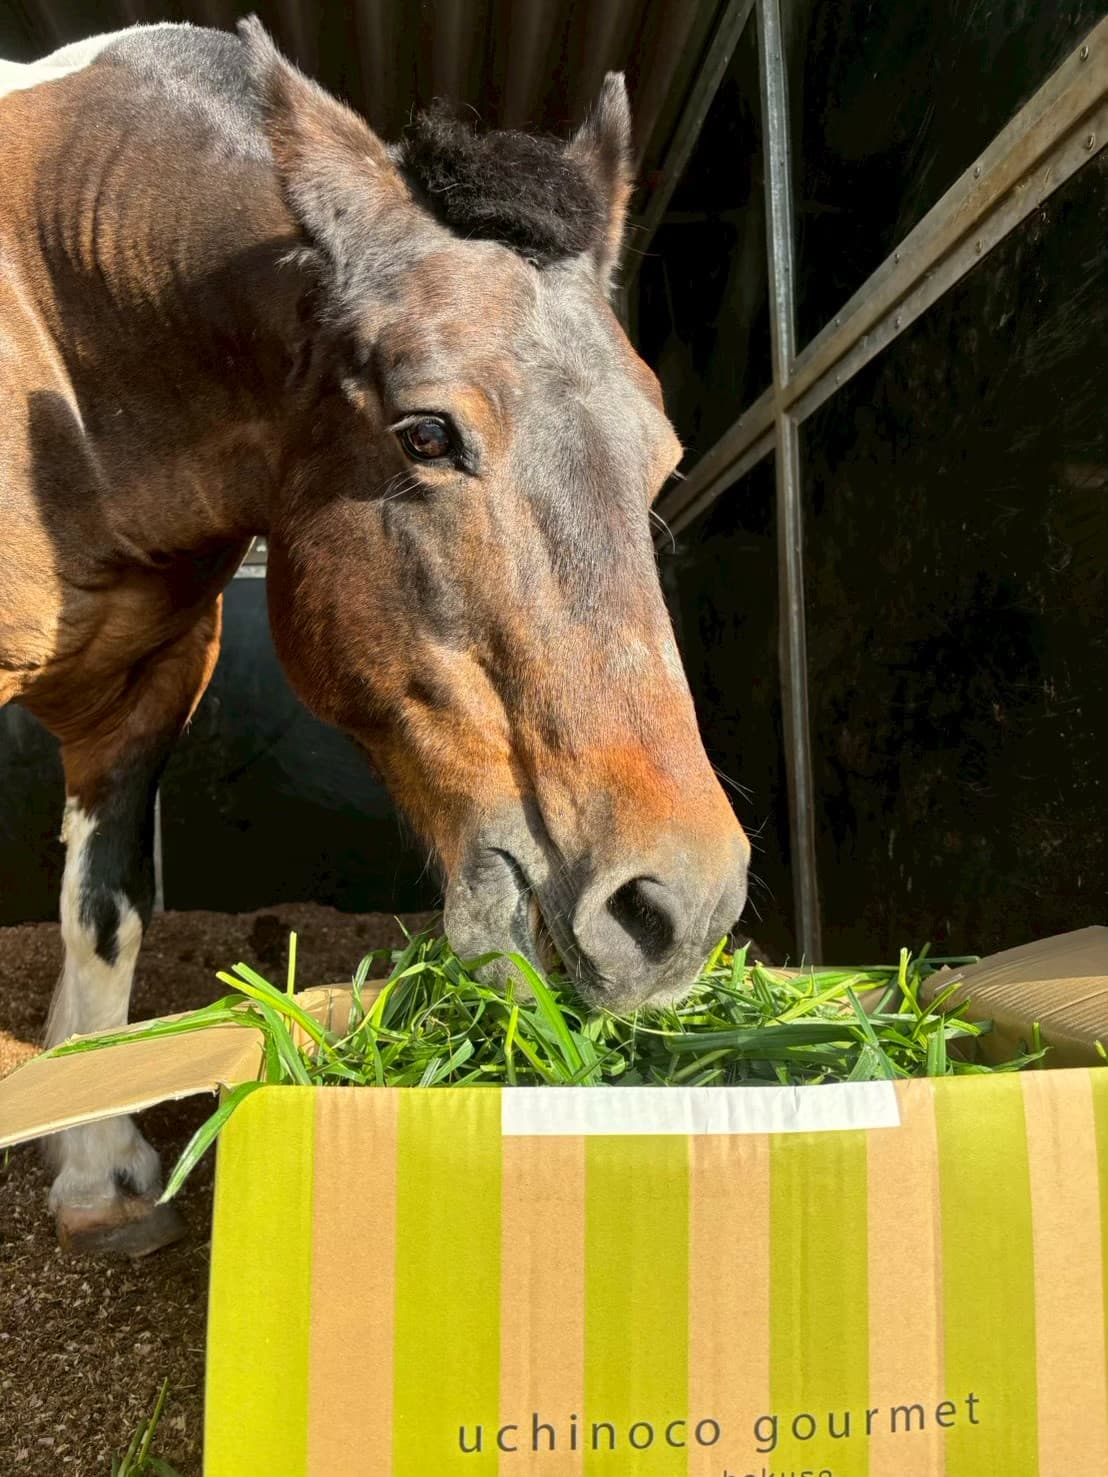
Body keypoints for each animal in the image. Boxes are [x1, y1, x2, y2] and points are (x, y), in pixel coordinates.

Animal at [0, 19, 751, 1254]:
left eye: (663, 456)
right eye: (427, 434)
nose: (677, 908)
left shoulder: (151, 680)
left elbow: (104, 914)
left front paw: (96, 1155)